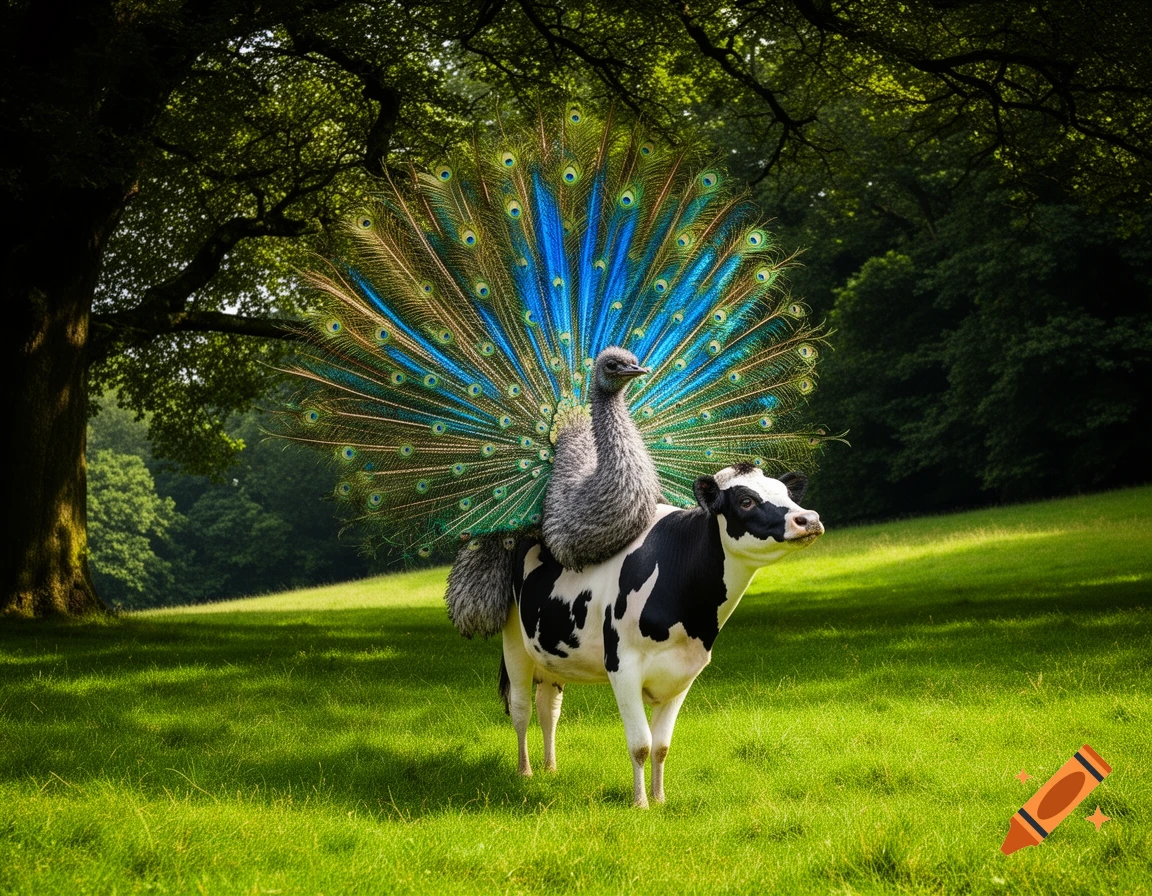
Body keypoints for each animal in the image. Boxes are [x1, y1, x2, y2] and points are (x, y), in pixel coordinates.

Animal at [498, 463, 824, 807]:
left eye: (787, 493)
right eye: (746, 500)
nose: (809, 519)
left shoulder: (683, 672)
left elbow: (661, 746)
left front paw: (659, 798)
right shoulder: (622, 666)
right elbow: (641, 743)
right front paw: (640, 803)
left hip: (552, 654)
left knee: (549, 709)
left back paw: (550, 768)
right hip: (514, 642)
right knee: (521, 708)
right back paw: (525, 771)